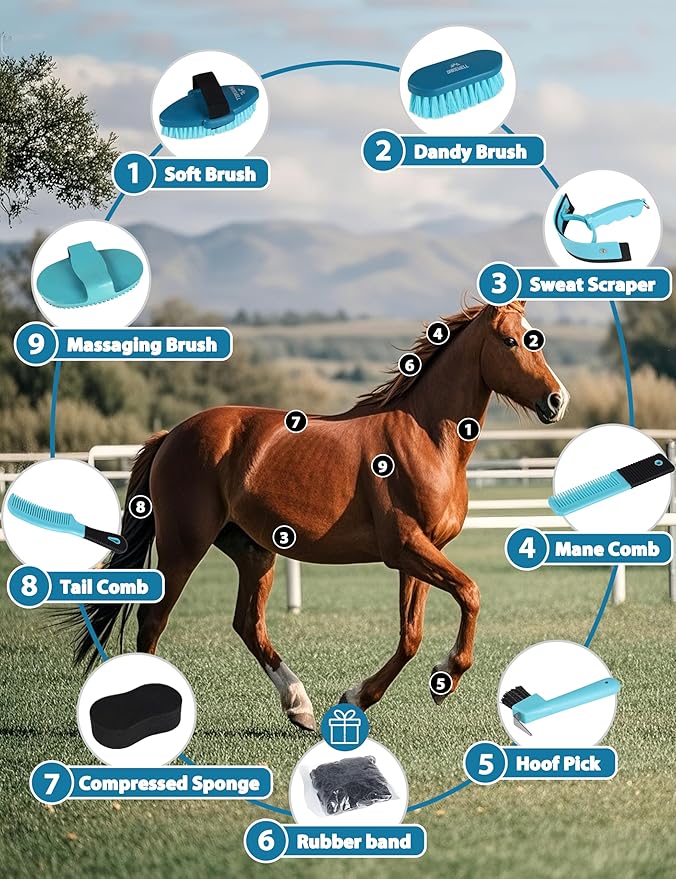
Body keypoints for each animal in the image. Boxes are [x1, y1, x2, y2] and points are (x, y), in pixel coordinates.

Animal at [66, 301, 569, 732]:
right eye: (511, 340)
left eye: (535, 339)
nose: (557, 401)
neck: (427, 438)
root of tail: (172, 435)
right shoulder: (406, 548)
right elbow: (470, 593)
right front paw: (444, 678)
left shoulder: (422, 552)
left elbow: (411, 634)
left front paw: (358, 698)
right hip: (183, 546)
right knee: (154, 620)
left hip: (254, 550)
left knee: (248, 624)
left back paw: (300, 706)